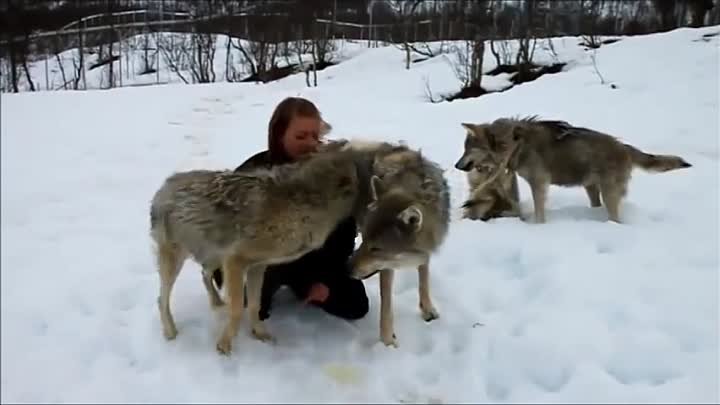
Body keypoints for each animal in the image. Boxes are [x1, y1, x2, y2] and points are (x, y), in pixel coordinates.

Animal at [456, 117, 692, 223]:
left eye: (468, 149)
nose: (457, 165)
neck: (515, 144)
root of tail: (625, 147)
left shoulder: (539, 184)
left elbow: (539, 213)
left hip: (608, 193)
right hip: (592, 189)